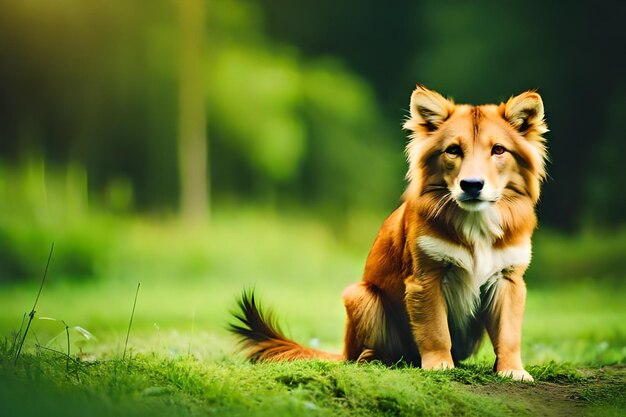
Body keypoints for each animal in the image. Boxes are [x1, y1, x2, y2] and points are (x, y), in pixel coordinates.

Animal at [229, 83, 544, 380]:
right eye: (453, 150)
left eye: (498, 150)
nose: (472, 185)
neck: (475, 222)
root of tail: (345, 349)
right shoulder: (425, 278)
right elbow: (436, 330)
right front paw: (440, 365)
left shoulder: (508, 280)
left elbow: (509, 335)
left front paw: (513, 370)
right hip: (361, 296)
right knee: (366, 354)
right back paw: (378, 359)